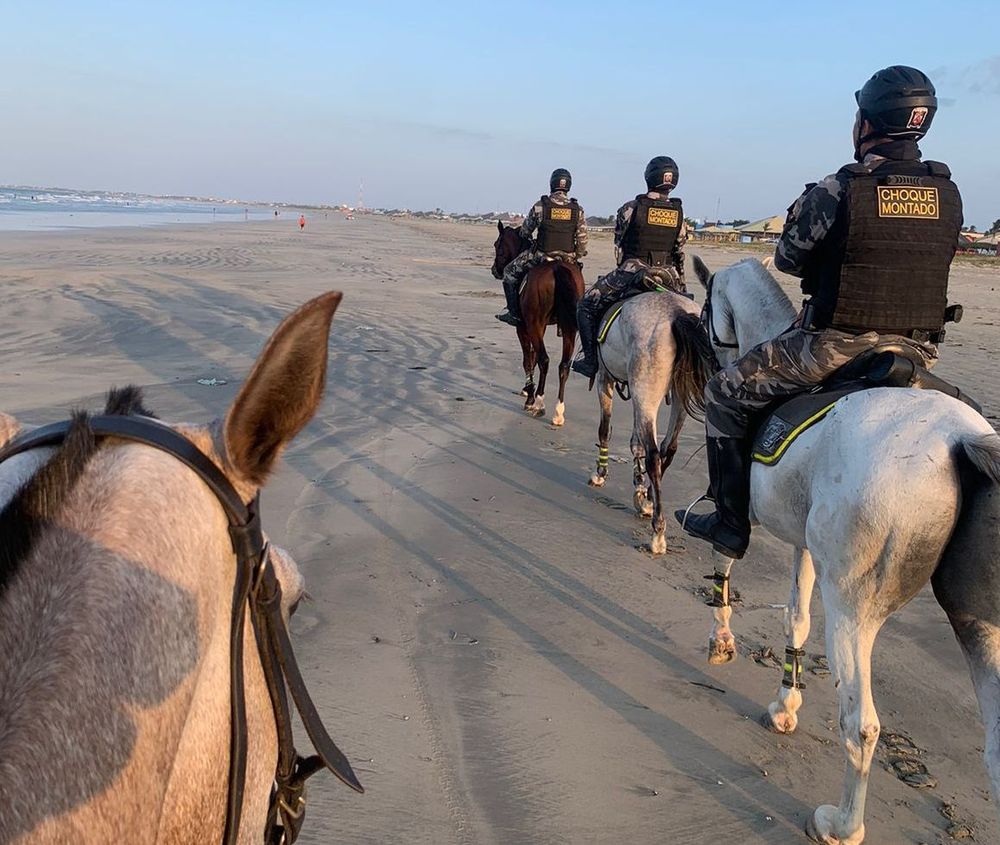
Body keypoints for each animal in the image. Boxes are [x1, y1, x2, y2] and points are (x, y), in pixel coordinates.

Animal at [492, 221, 584, 426]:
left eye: (497, 245)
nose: (495, 270)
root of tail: (557, 268)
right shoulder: (539, 328)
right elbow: (533, 357)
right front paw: (528, 390)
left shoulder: (524, 328)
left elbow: (528, 359)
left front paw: (529, 396)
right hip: (569, 329)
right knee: (563, 365)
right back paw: (558, 412)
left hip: (534, 325)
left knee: (545, 360)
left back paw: (539, 404)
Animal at [692, 258, 1000, 844]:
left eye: (702, 315)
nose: (708, 372)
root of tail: (959, 441)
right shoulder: (803, 546)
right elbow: (794, 617)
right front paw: (785, 704)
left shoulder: (740, 513)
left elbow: (724, 551)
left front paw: (721, 641)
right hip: (982, 630)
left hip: (853, 610)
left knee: (861, 725)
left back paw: (841, 824)